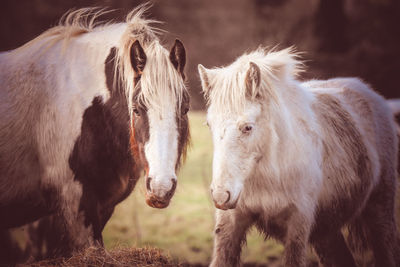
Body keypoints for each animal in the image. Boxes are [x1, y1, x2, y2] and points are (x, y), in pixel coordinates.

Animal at [198, 48, 398, 267]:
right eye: (209, 124)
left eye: (248, 127)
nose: (220, 196)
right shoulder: (231, 223)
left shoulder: (298, 224)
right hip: (326, 232)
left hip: (380, 212)